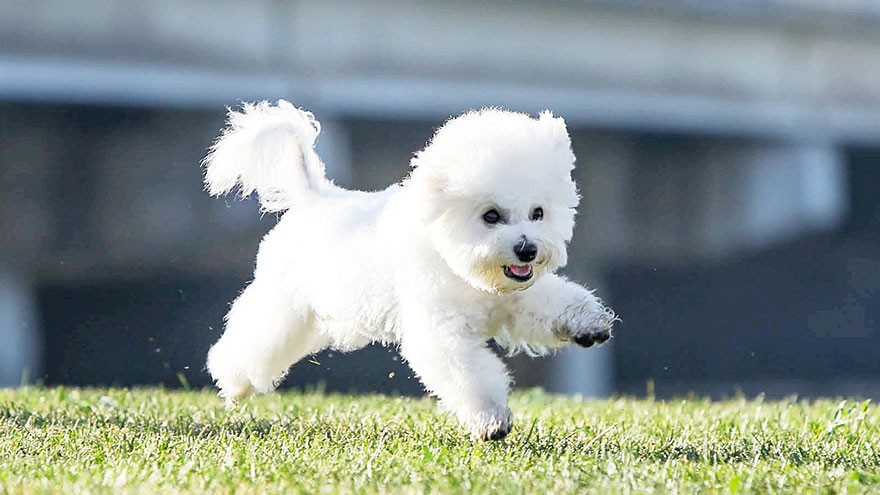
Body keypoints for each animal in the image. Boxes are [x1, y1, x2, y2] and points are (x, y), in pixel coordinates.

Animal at [205, 99, 620, 440]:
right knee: (250, 342)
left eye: (538, 213)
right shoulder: (440, 330)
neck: (459, 267)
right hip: (283, 305)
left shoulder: (515, 299)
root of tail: (314, 196)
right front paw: (490, 420)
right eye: (491, 216)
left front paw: (590, 326)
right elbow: (468, 373)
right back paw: (233, 383)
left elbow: (551, 304)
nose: (527, 249)